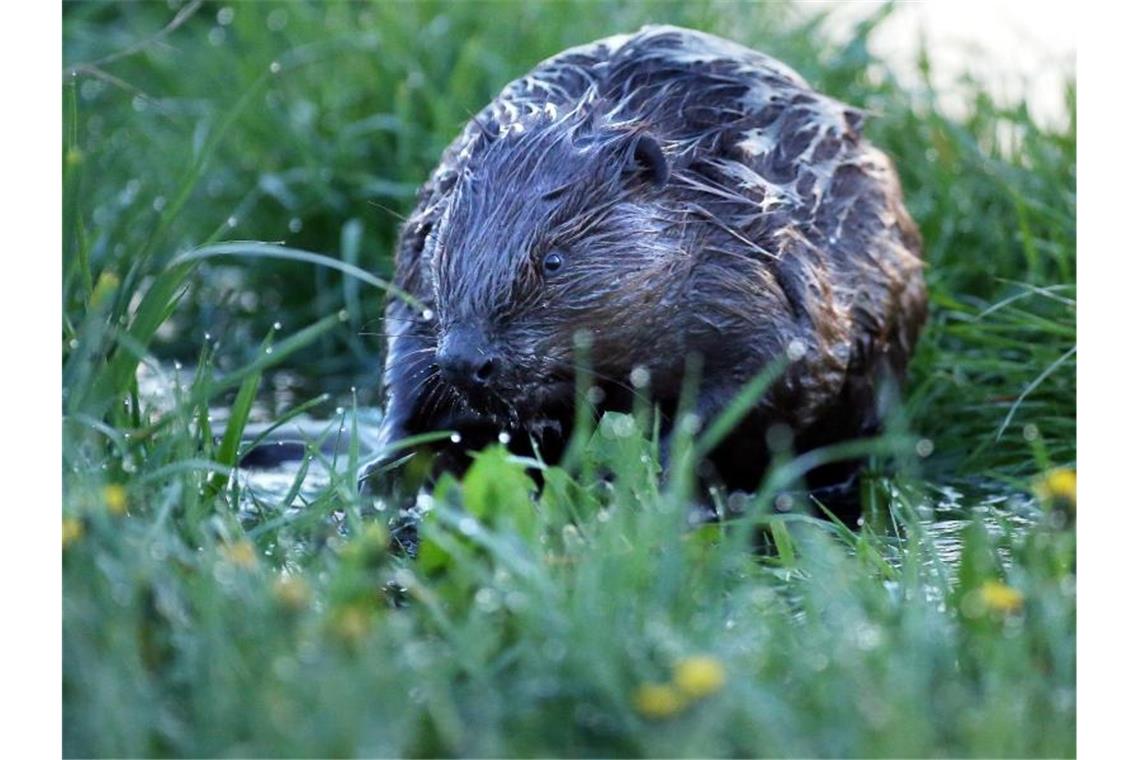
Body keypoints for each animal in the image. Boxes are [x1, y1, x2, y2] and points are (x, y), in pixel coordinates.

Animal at [364, 23, 925, 524]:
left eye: (552, 261)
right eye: (446, 245)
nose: (466, 360)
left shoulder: (763, 280)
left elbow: (759, 382)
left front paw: (651, 489)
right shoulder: (419, 270)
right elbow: (409, 366)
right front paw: (383, 473)